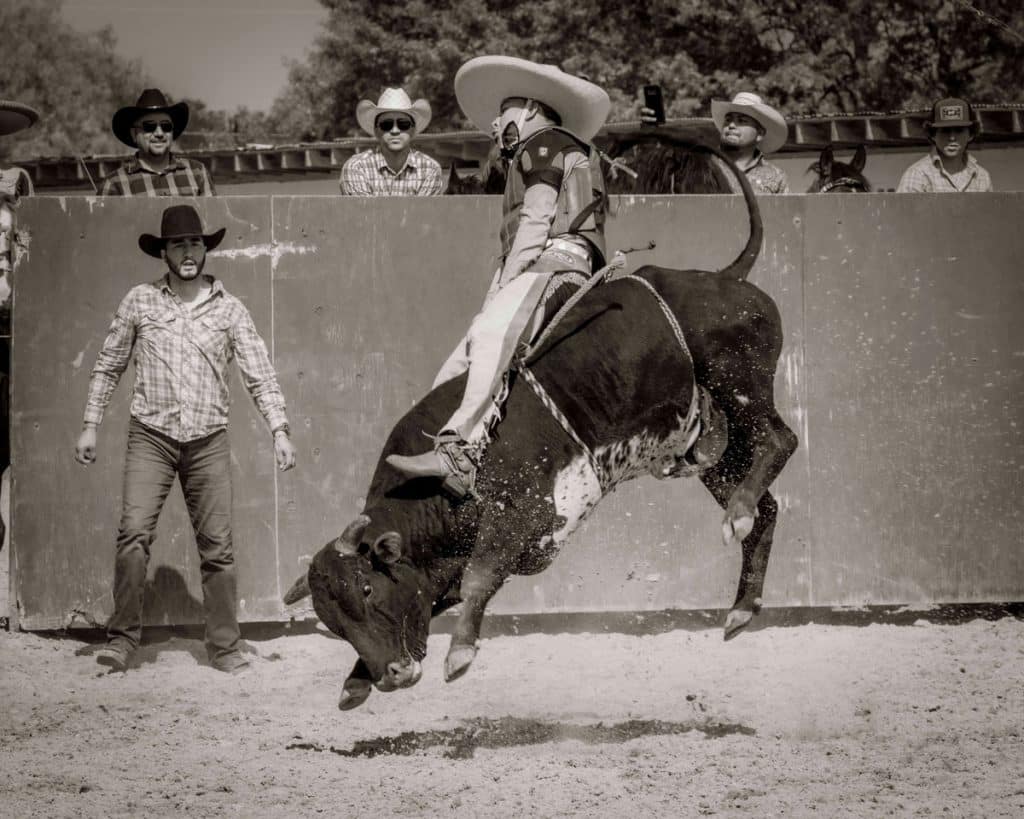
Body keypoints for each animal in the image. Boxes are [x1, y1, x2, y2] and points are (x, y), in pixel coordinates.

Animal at [284, 142, 794, 708]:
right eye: (334, 624)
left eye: (368, 588)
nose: (391, 675)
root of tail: (725, 278)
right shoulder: (446, 572)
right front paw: (355, 679)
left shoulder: (522, 512)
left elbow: (482, 574)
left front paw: (459, 654)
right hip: (713, 448)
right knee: (767, 506)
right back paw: (741, 605)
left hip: (741, 385)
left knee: (781, 441)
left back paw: (738, 516)